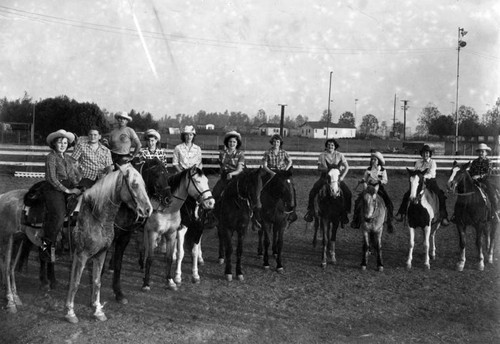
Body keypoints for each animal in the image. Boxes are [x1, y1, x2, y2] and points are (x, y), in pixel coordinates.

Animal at [65, 163, 153, 322]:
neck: (96, 217)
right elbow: (75, 282)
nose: (148, 209)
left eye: (144, 184)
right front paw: (70, 313)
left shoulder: (101, 253)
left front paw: (98, 310)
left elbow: (97, 281)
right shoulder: (82, 254)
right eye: (134, 184)